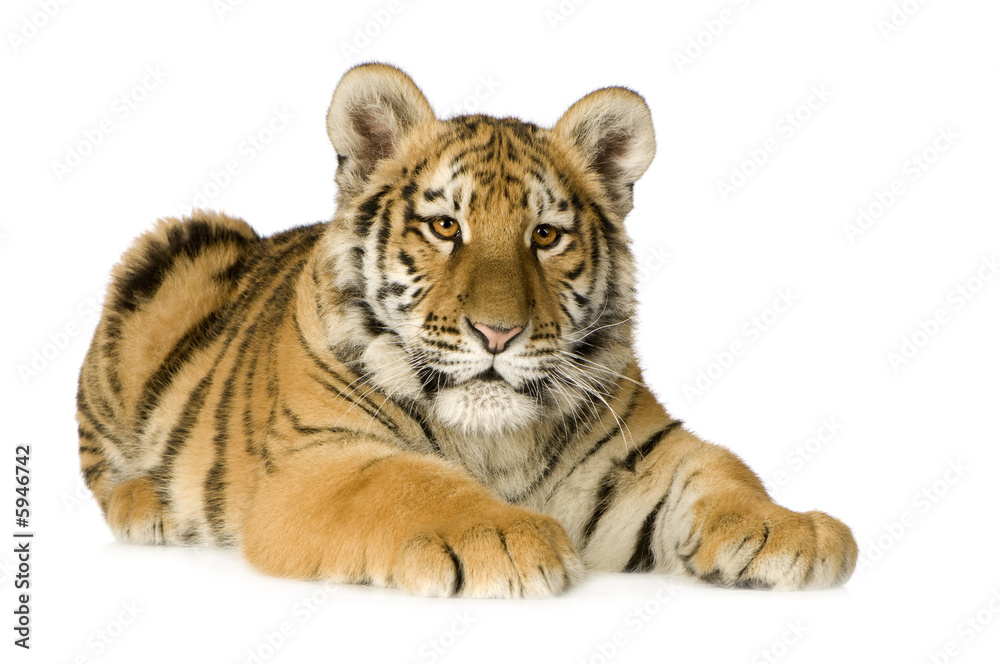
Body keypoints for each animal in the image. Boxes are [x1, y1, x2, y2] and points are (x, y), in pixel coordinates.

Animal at [77, 63, 857, 597]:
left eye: (545, 235)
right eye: (446, 226)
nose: (498, 334)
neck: (495, 441)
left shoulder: (637, 456)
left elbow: (723, 471)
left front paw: (794, 530)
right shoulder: (318, 460)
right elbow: (407, 482)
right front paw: (504, 536)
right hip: (166, 257)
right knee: (101, 472)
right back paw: (150, 505)